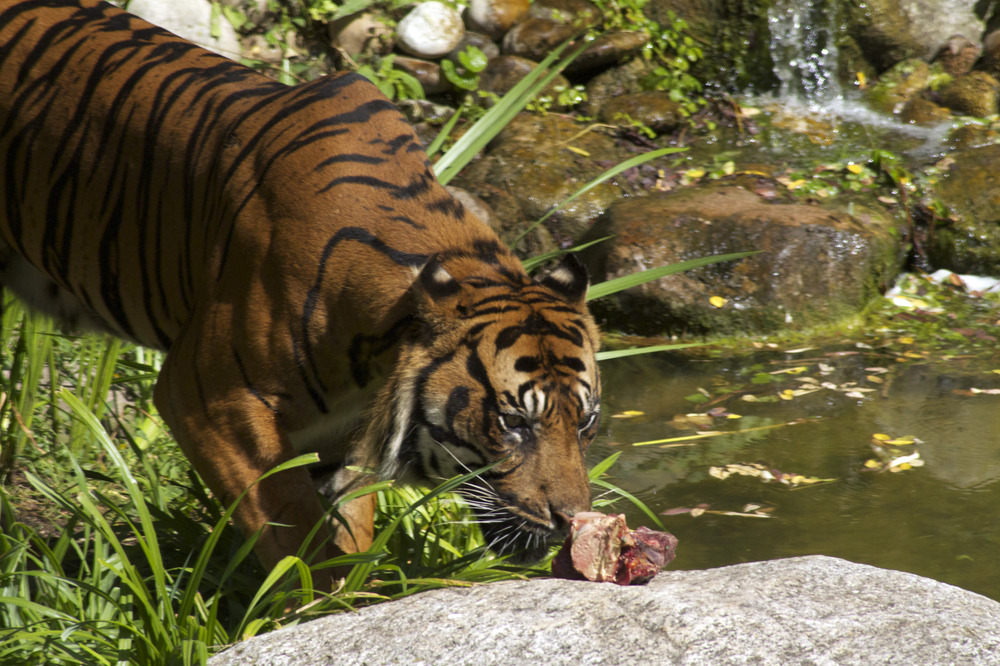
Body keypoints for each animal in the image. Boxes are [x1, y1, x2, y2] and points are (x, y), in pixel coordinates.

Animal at [0, 0, 600, 576]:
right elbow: (291, 529)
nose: (569, 520)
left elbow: (348, 526)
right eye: (513, 422)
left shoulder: (344, 437)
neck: (373, 359)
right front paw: (316, 600)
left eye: (587, 422)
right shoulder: (208, 398)